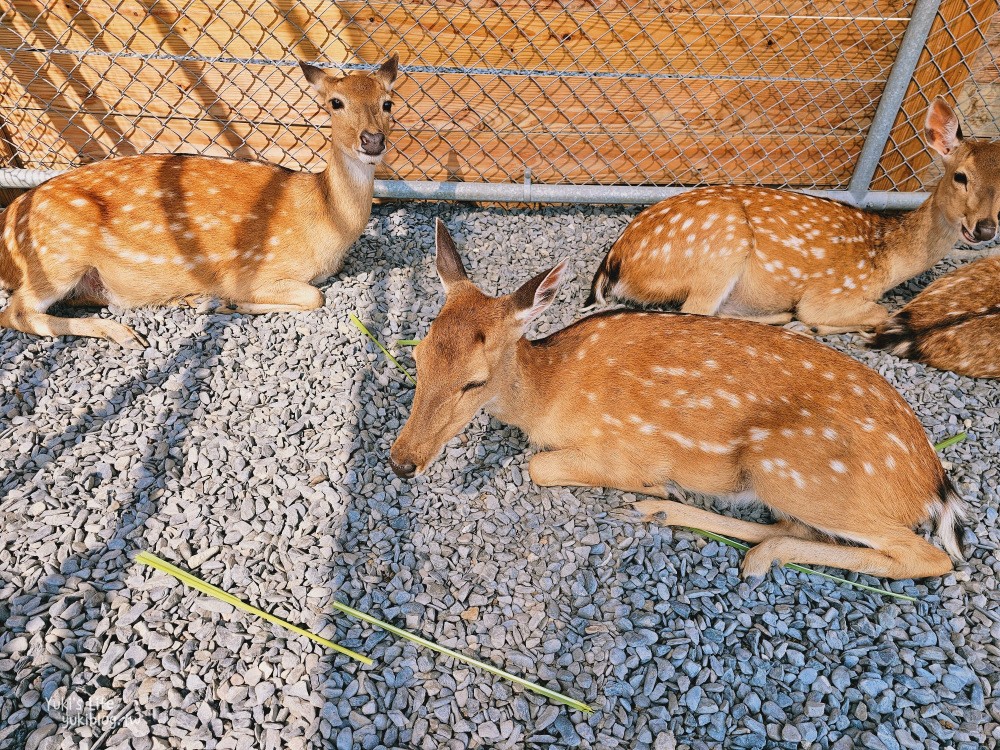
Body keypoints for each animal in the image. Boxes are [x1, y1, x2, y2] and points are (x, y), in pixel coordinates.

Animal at [0, 56, 398, 350]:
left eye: (387, 103)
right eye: (336, 103)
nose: (372, 140)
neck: (325, 224)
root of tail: (6, 225)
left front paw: (213, 301)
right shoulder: (254, 269)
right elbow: (315, 296)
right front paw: (232, 302)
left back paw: (184, 301)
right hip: (57, 255)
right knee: (16, 313)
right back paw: (125, 333)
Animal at [390, 220, 968, 584]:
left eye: (474, 382)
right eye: (416, 354)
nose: (401, 462)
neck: (551, 392)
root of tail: (933, 485)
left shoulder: (619, 446)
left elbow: (539, 466)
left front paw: (651, 482)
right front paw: (657, 494)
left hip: (798, 471)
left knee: (929, 558)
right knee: (793, 525)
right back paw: (685, 520)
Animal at [584, 97, 1000, 334]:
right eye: (960, 176)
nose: (984, 229)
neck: (888, 258)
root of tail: (615, 262)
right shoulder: (832, 292)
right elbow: (881, 311)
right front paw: (823, 327)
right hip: (721, 247)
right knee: (697, 313)